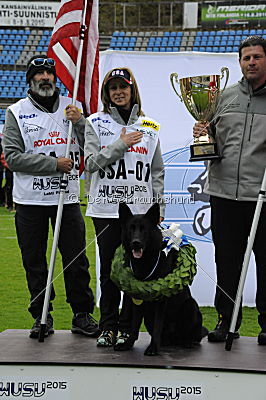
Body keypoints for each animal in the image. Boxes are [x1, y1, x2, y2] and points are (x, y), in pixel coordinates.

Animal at [114, 203, 206, 356]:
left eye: (144, 229)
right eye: (131, 229)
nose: (136, 243)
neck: (146, 262)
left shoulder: (161, 299)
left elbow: (158, 325)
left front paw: (153, 348)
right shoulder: (138, 297)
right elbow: (134, 325)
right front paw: (128, 344)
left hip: (190, 305)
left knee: (194, 336)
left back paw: (187, 342)